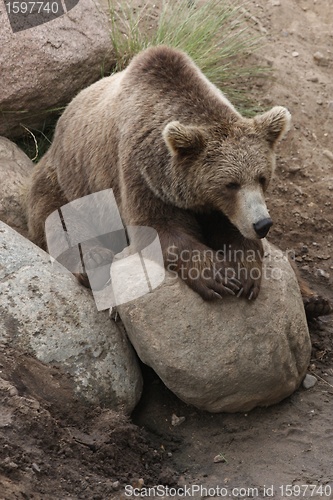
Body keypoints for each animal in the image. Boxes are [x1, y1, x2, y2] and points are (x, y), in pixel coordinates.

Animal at [25, 44, 330, 316]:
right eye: (230, 184)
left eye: (262, 178)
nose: (262, 224)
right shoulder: (139, 173)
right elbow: (159, 228)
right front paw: (217, 276)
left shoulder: (218, 207)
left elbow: (235, 233)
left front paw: (245, 272)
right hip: (66, 182)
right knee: (61, 222)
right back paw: (94, 260)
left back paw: (315, 301)